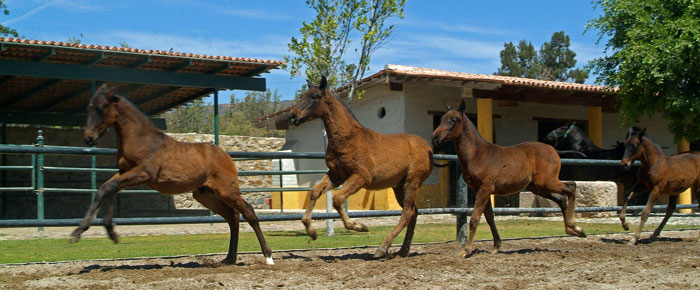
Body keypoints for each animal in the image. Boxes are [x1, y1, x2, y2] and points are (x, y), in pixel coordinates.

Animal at [72, 84, 274, 266]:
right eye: (88, 108)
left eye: (100, 108)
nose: (88, 138)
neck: (141, 138)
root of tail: (226, 155)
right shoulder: (123, 172)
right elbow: (105, 189)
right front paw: (93, 232)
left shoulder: (143, 173)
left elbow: (109, 188)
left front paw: (91, 233)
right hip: (205, 195)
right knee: (232, 217)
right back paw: (229, 259)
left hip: (226, 191)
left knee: (248, 212)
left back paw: (268, 257)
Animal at [286, 75, 432, 258]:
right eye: (303, 95)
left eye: (315, 97)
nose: (292, 116)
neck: (348, 138)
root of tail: (428, 147)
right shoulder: (336, 175)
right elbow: (315, 191)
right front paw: (311, 232)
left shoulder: (361, 177)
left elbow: (337, 199)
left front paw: (359, 226)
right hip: (398, 186)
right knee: (414, 212)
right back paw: (402, 250)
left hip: (412, 182)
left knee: (407, 213)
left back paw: (382, 249)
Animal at [432, 100, 584, 258]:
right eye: (442, 118)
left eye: (453, 120)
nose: (435, 137)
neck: (476, 154)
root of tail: (553, 150)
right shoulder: (479, 189)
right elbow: (489, 217)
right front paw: (496, 246)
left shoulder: (485, 188)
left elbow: (474, 219)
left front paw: (466, 250)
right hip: (538, 187)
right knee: (562, 198)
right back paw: (574, 230)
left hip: (547, 182)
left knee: (571, 187)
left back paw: (575, 227)